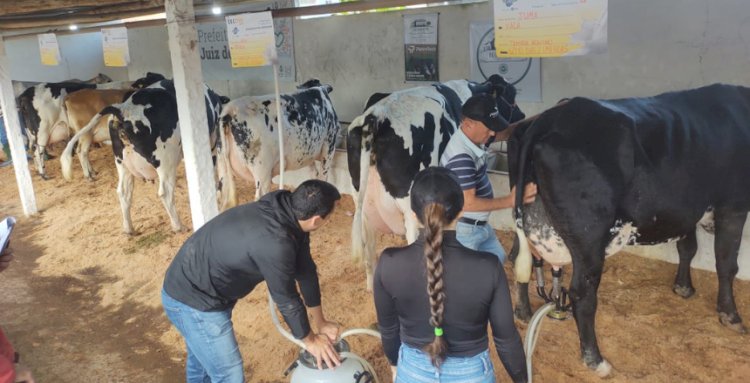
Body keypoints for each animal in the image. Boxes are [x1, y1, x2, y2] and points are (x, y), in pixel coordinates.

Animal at [62, 79, 229, 234]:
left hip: (122, 163)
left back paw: (129, 229)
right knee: (165, 192)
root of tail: (123, 108)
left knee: (123, 192)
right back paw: (178, 226)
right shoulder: (211, 145)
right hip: (166, 161)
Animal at [214, 79, 338, 208]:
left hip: (222, 166)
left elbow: (314, 173)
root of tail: (230, 111)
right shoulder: (329, 146)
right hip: (262, 170)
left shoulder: (310, 152)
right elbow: (323, 176)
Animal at [346, 75, 524, 290]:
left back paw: (371, 287)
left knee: (369, 251)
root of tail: (374, 118)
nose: (522, 116)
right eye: (511, 95)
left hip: (363, 205)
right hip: (409, 208)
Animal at [508, 84, 750, 378]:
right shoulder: (734, 205)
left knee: (518, 259)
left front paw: (683, 287)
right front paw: (730, 315)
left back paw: (522, 312)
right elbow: (726, 264)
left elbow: (687, 248)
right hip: (589, 235)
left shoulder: (685, 209)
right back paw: (596, 360)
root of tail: (547, 119)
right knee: (582, 293)